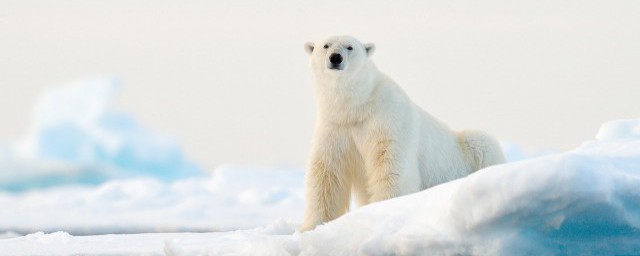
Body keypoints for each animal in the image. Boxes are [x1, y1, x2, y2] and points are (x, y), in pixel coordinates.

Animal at [300, 35, 504, 230]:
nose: (335, 57)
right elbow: (327, 173)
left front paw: (384, 208)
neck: (357, 107)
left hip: (470, 149)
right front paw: (312, 226)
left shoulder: (387, 118)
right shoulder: (335, 127)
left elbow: (390, 164)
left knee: (482, 143)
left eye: (350, 47)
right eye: (326, 45)